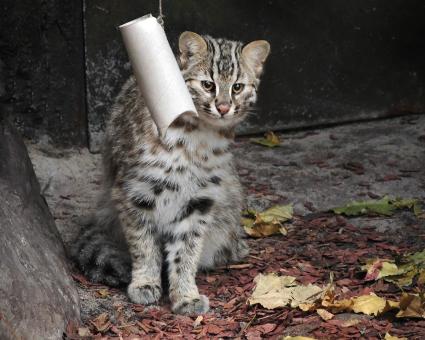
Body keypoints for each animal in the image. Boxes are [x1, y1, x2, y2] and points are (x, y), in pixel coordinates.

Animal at [72, 31, 268, 314]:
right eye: (207, 85)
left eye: (238, 87)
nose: (222, 107)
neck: (197, 139)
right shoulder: (135, 191)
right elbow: (143, 245)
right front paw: (145, 282)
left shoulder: (199, 200)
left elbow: (186, 251)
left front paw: (185, 295)